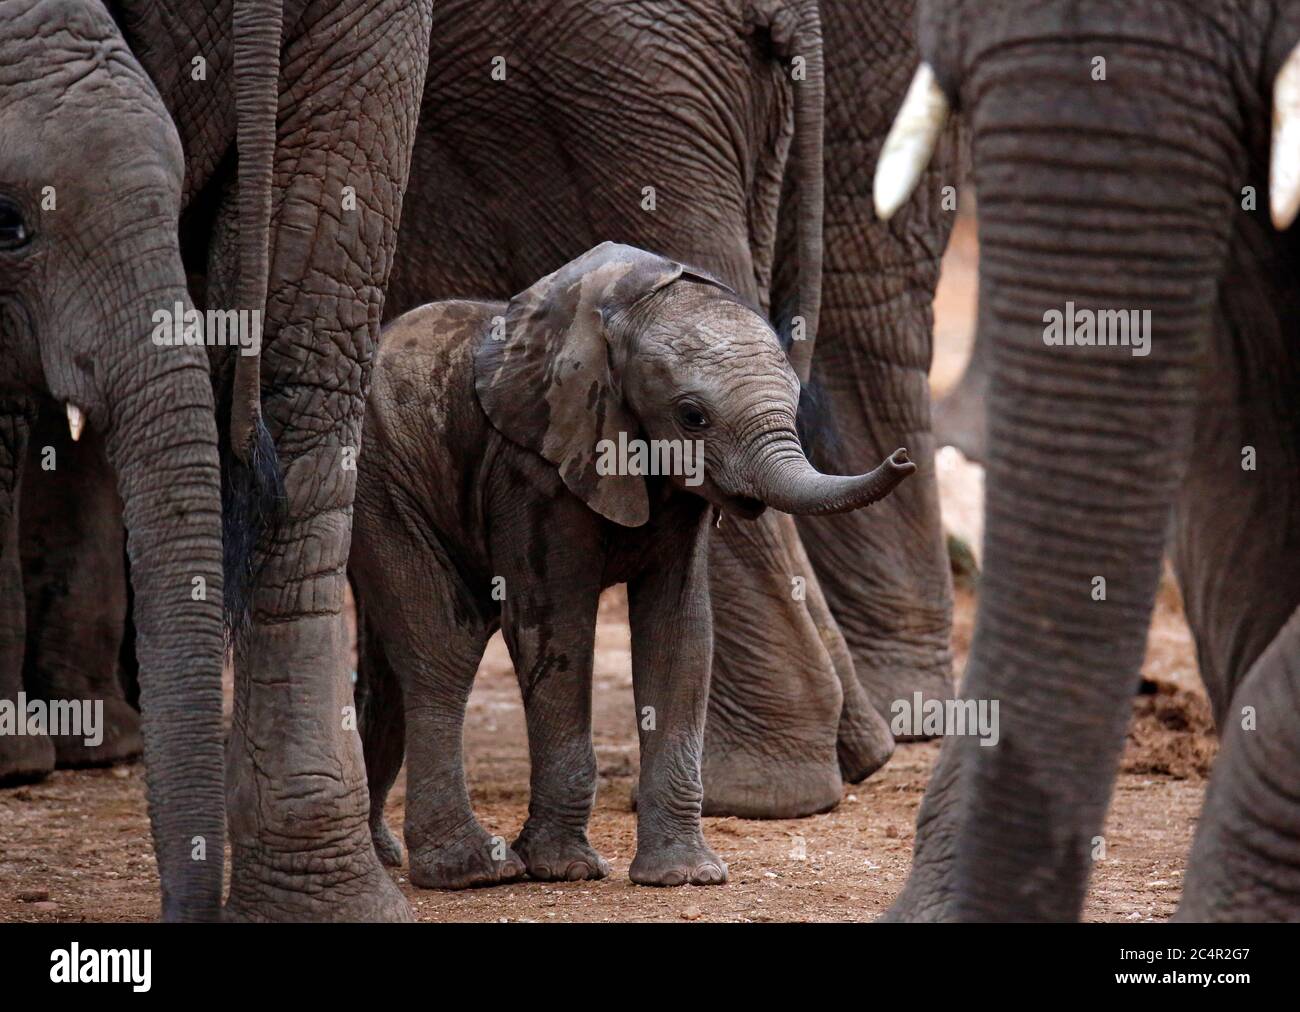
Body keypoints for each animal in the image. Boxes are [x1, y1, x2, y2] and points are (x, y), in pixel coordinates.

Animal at [350, 243, 915, 889]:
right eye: (692, 416)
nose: (903, 457)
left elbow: (680, 636)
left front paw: (685, 876)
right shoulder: (531, 469)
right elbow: (557, 627)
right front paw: (564, 869)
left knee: (389, 669)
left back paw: (384, 855)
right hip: (381, 480)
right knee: (443, 645)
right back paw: (472, 871)